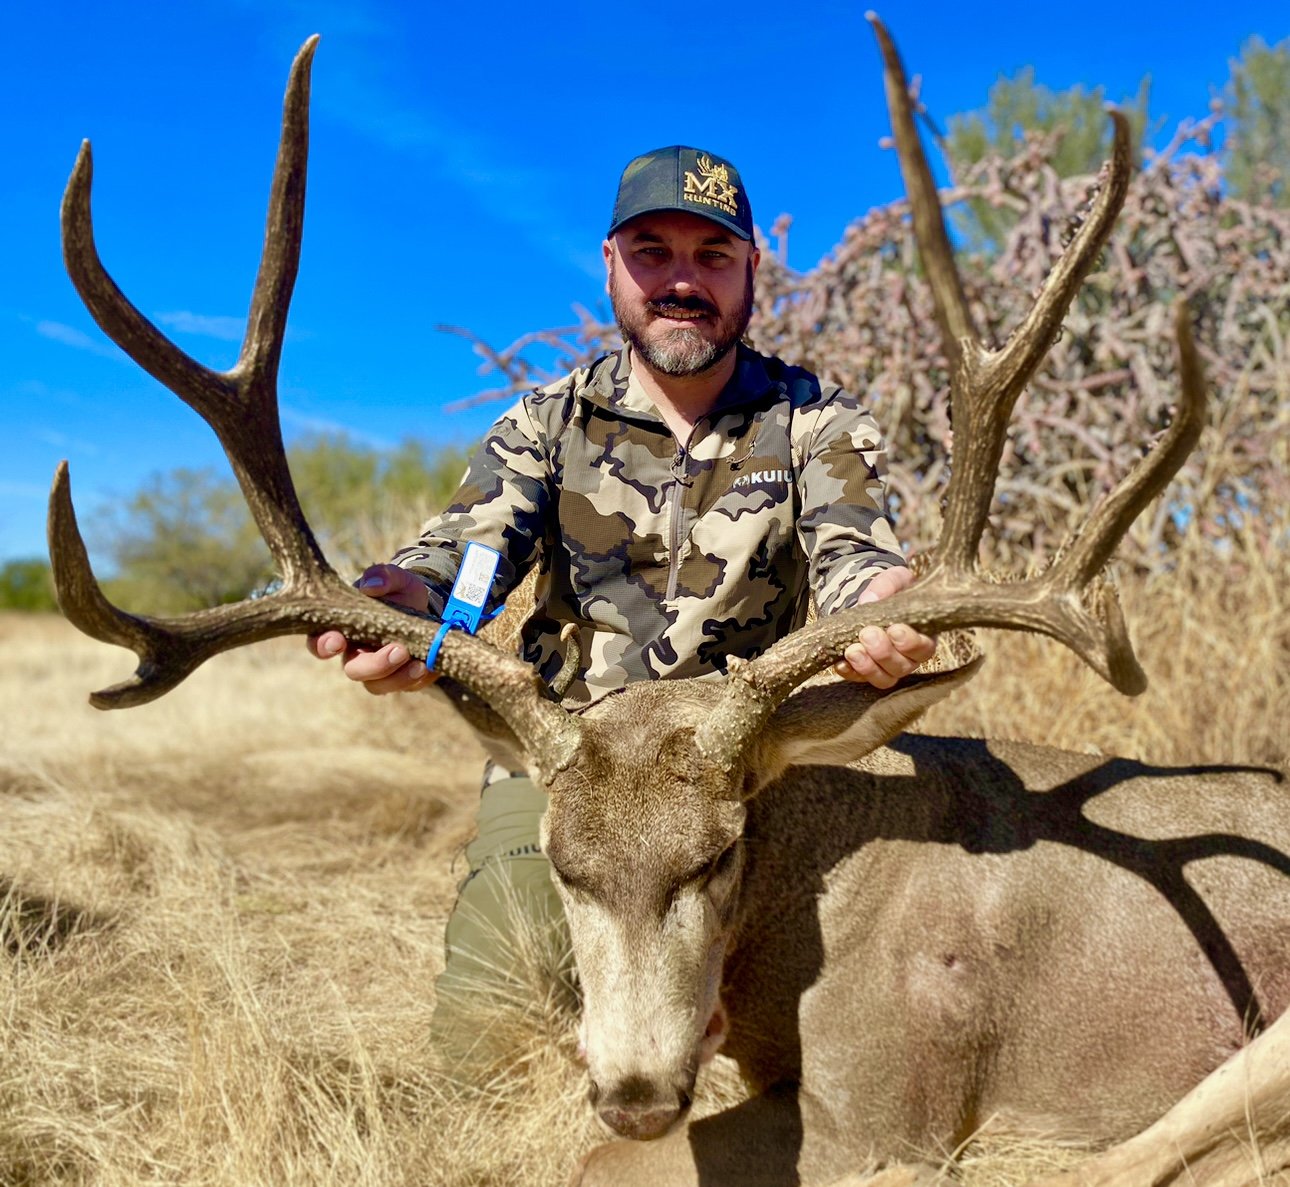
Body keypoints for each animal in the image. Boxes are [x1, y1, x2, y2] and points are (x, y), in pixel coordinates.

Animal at [48, 17, 1290, 1187]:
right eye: (563, 863)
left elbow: (604, 1160)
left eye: (720, 853)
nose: (638, 1089)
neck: (802, 891)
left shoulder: (889, 1095)